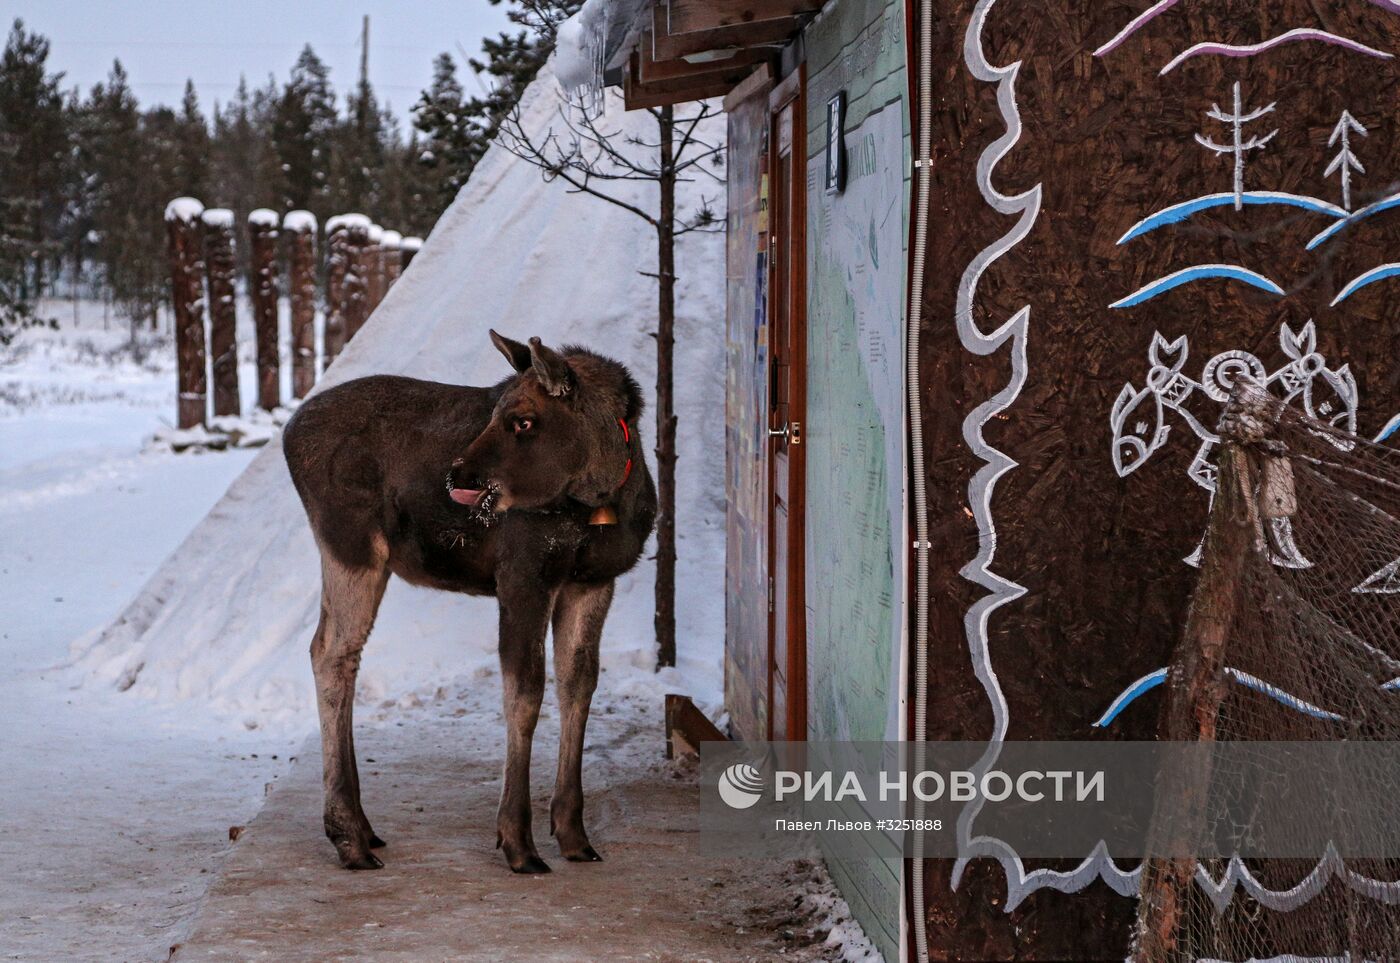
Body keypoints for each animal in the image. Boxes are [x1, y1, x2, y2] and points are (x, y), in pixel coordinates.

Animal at [287, 330, 658, 873]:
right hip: (351, 545)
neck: (603, 492)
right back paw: (349, 837)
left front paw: (573, 833)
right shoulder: (522, 575)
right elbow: (524, 694)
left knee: (333, 651)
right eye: (495, 410)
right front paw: (519, 842)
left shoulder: (592, 580)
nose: (458, 473)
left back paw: (363, 827)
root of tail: (287, 435)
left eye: (523, 420)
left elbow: (579, 685)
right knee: (332, 652)